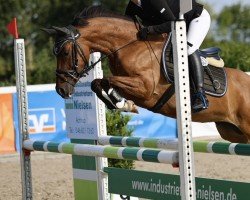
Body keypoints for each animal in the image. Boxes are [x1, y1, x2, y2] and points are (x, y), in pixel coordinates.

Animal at [42, 5, 250, 144]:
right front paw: (121, 103)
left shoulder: (146, 88)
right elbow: (97, 83)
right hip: (231, 131)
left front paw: (122, 103)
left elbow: (108, 80)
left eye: (65, 52)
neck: (130, 46)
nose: (61, 90)